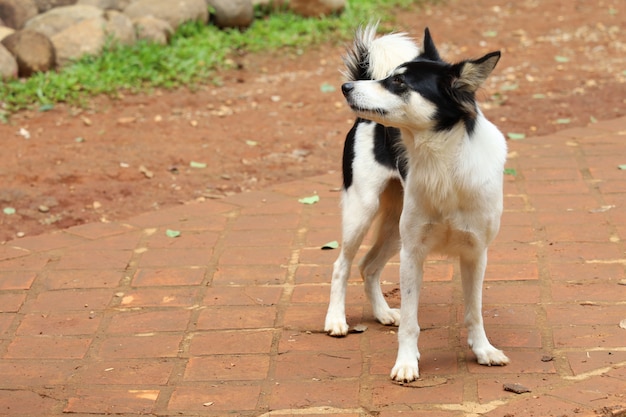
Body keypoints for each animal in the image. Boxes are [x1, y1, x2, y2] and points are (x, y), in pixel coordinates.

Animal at [324, 22, 510, 380]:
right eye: (390, 77)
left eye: (399, 83)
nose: (345, 87)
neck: (443, 165)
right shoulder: (413, 254)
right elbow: (411, 322)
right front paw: (407, 363)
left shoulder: (476, 254)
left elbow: (474, 312)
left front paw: (483, 350)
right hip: (362, 212)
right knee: (342, 265)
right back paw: (336, 320)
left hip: (393, 229)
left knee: (368, 266)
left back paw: (382, 313)